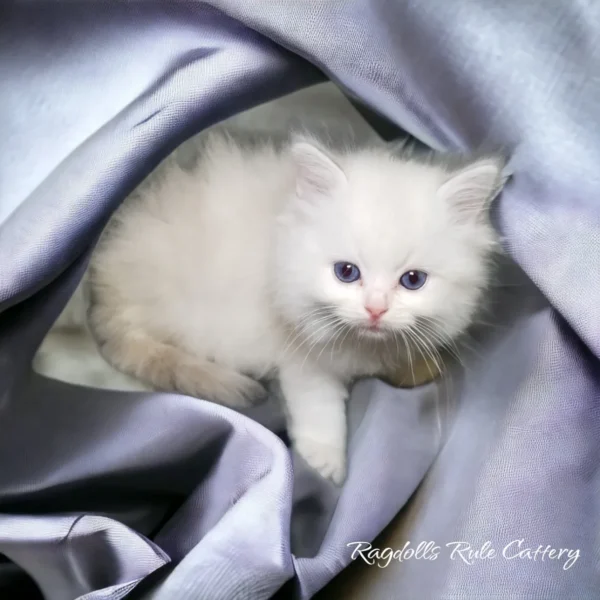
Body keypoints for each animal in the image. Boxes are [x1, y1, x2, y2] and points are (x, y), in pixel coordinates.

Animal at [55, 131, 502, 482]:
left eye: (413, 281)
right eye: (346, 272)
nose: (376, 310)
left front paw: (417, 368)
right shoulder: (301, 357)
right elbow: (320, 410)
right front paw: (325, 465)